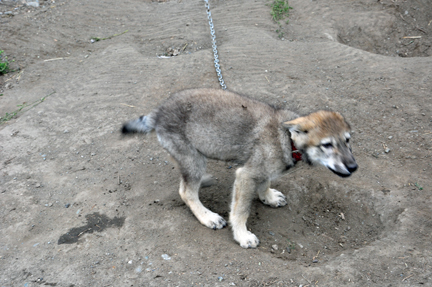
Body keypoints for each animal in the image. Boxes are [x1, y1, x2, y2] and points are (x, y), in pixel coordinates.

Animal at [121, 89, 358, 249]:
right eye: (327, 145)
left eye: (347, 141)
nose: (354, 167)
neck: (287, 138)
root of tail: (158, 112)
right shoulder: (245, 175)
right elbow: (241, 211)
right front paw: (242, 235)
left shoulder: (258, 169)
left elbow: (265, 182)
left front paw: (268, 197)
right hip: (194, 160)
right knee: (186, 191)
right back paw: (207, 217)